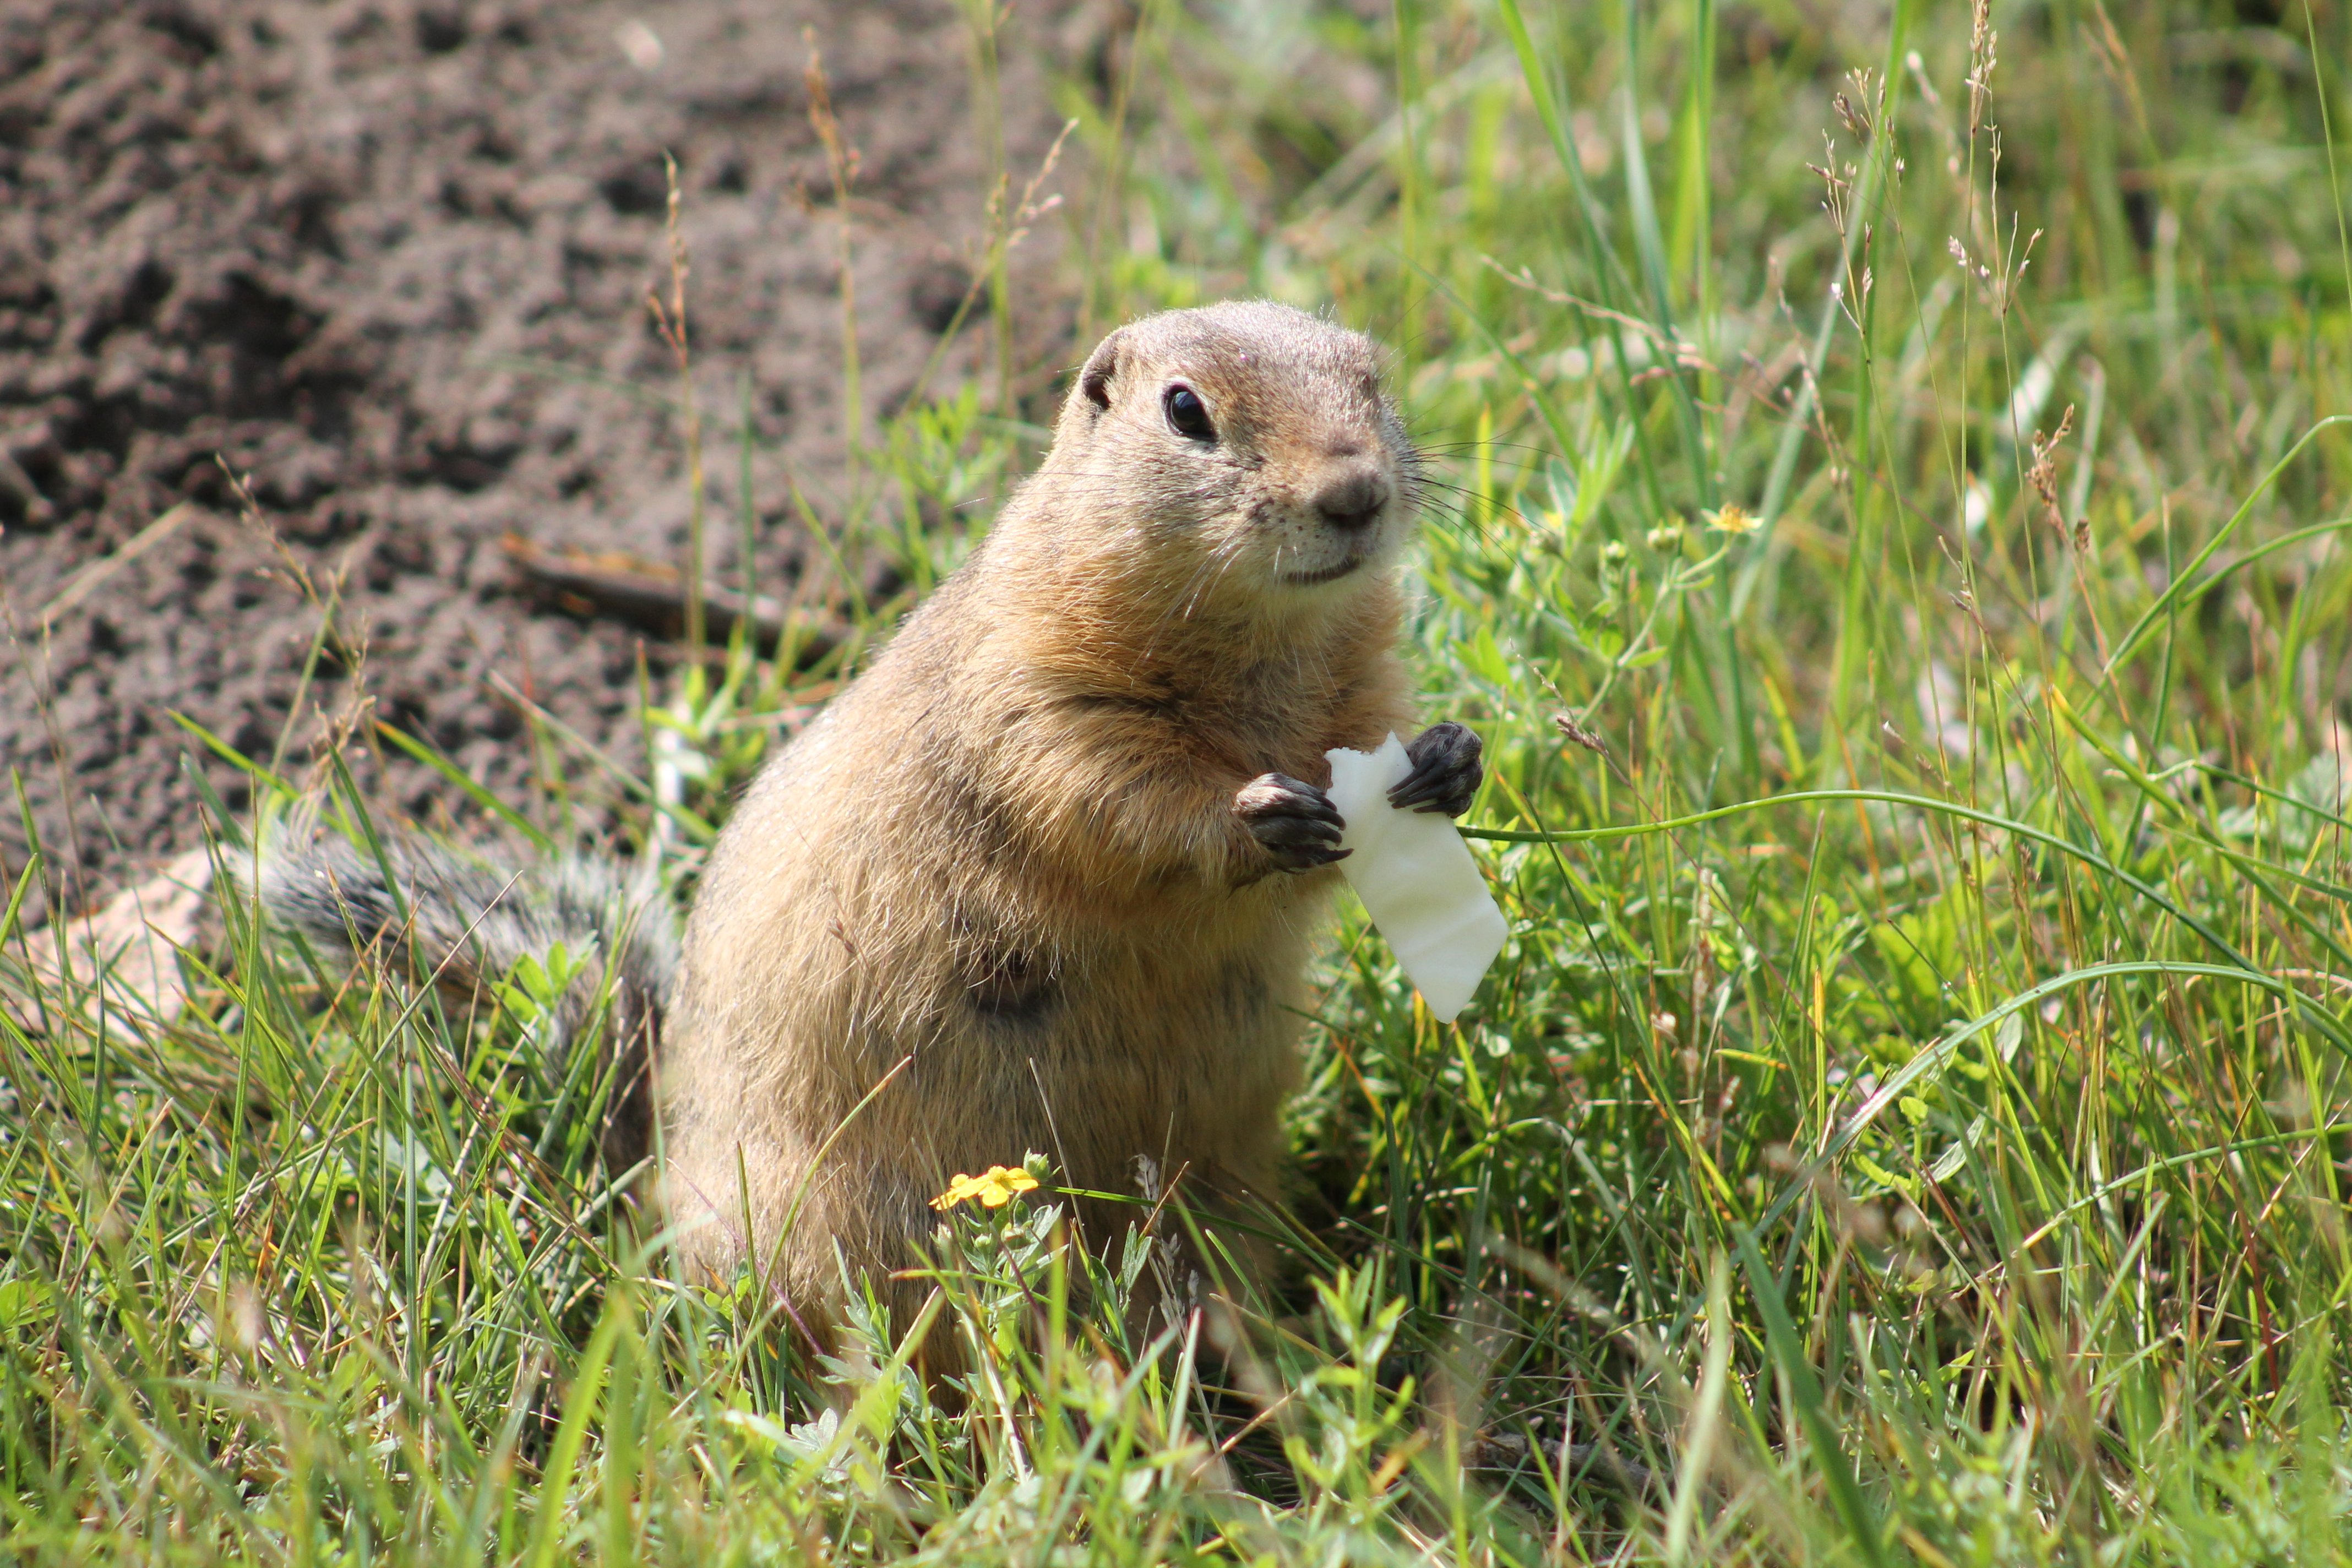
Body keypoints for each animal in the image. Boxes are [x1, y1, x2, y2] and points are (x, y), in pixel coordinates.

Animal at [266, 303, 1477, 1335]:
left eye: (1371, 375)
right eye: (1186, 410)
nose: (1356, 493)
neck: (1262, 647)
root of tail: (649, 1177)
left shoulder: (1364, 682)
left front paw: (1450, 761)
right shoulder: (1034, 696)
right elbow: (1113, 799)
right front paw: (1256, 812)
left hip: (1222, 1176)